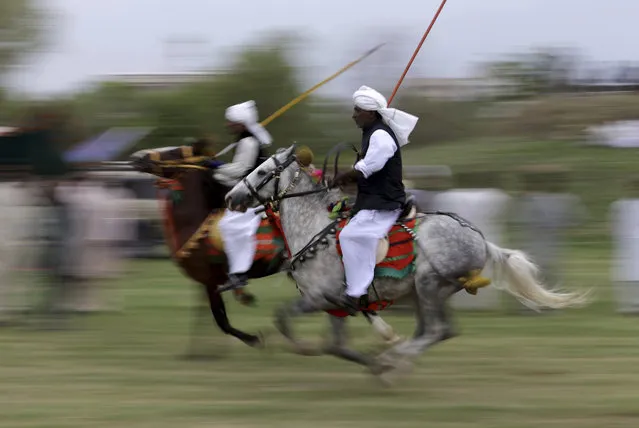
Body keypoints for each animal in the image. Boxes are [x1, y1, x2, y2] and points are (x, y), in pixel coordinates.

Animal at [228, 145, 592, 382]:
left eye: (262, 171)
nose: (232, 197)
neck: (314, 229)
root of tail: (480, 240)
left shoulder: (319, 298)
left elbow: (285, 319)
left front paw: (311, 349)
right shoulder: (336, 305)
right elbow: (336, 346)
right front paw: (375, 359)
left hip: (429, 286)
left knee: (435, 330)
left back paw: (395, 360)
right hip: (427, 292)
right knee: (440, 330)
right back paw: (395, 358)